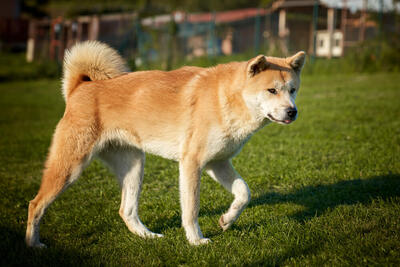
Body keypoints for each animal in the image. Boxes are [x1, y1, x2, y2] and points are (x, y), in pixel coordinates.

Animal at [25, 40, 306, 248]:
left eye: (292, 90)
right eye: (272, 90)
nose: (292, 112)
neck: (226, 98)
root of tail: (80, 88)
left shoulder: (218, 163)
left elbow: (244, 193)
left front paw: (227, 220)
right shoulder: (192, 163)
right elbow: (191, 209)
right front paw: (196, 241)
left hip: (134, 167)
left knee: (126, 211)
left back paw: (148, 236)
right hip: (69, 168)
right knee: (35, 204)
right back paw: (33, 245)